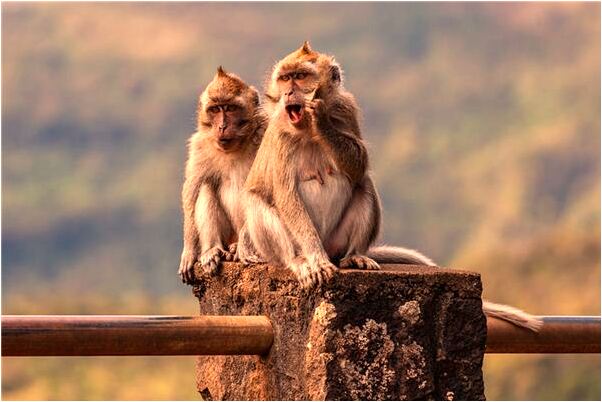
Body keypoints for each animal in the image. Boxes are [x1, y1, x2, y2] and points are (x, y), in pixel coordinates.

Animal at [176, 66, 264, 286]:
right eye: (215, 110)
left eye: (231, 108)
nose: (222, 126)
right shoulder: (199, 145)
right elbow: (192, 190)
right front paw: (189, 251)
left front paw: (244, 247)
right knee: (206, 186)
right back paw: (212, 250)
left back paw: (237, 248)